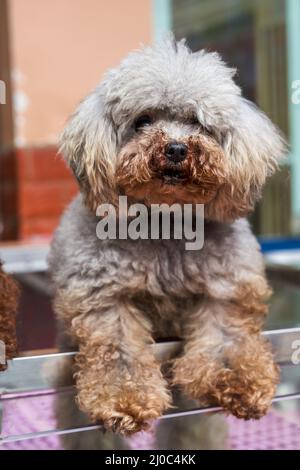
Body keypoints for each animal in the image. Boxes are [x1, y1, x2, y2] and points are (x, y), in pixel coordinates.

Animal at [48, 38, 286, 446]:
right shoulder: (104, 298)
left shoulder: (225, 289)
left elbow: (227, 340)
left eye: (199, 123)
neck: (166, 222)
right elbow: (118, 351)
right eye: (143, 121)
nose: (175, 148)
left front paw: (238, 381)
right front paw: (124, 398)